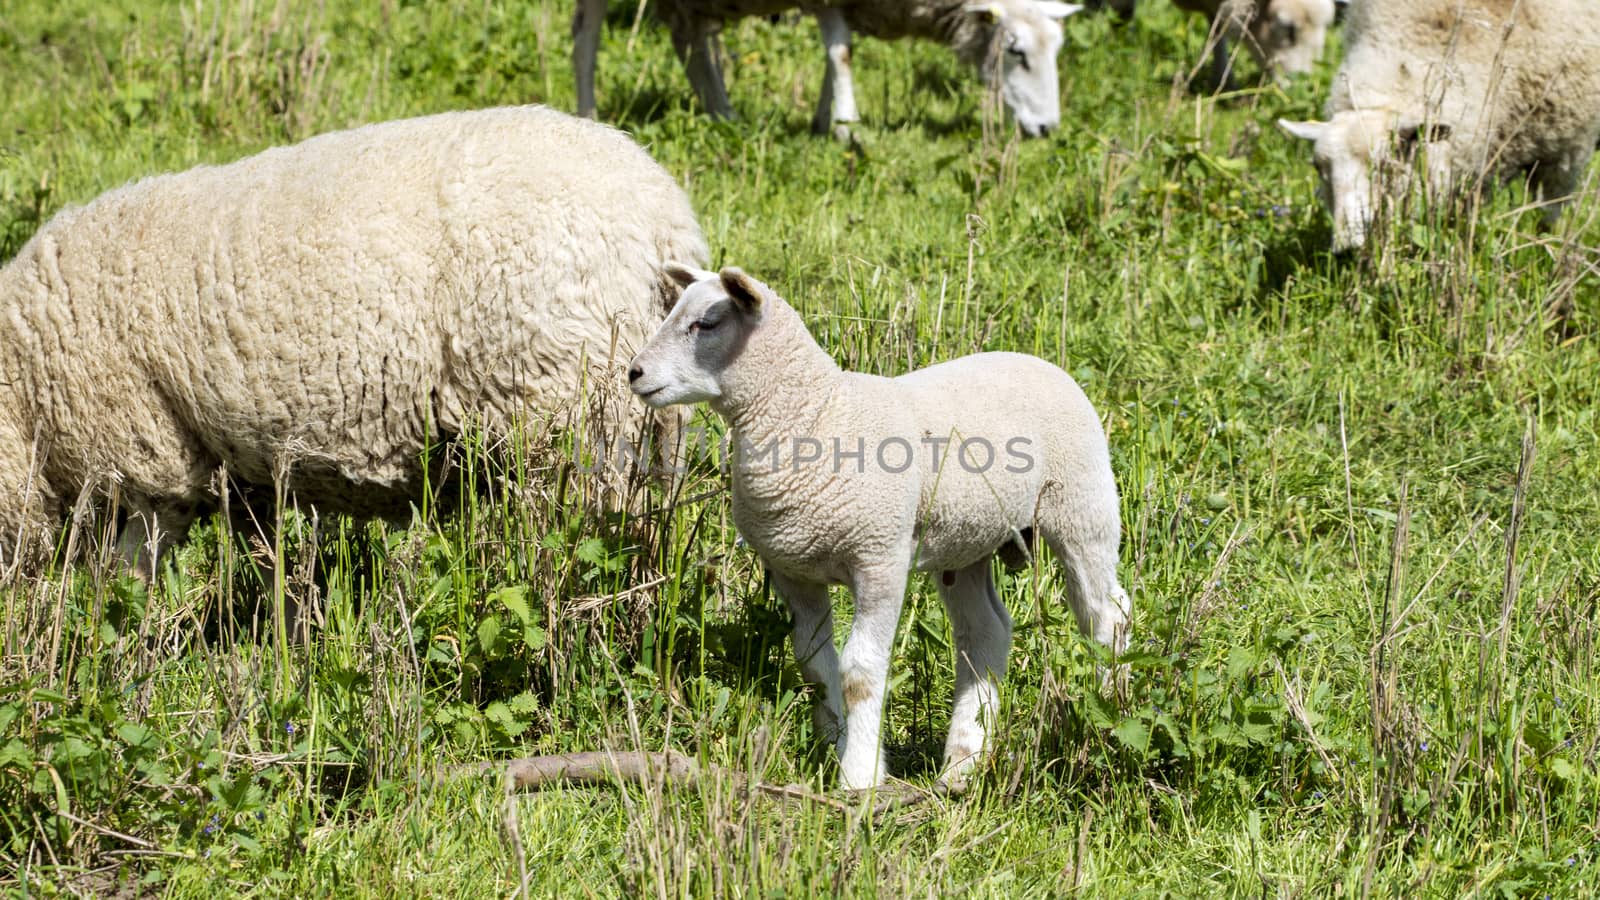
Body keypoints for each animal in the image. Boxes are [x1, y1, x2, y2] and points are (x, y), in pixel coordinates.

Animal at [0, 103, 707, 573]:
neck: (23, 398)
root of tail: (662, 214)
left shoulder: (141, 459)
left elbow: (120, 577)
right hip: (653, 420)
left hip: (568, 408)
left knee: (582, 530)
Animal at [569, 0, 1081, 138]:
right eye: (1016, 52)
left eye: (1057, 49)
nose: (1048, 129)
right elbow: (841, 51)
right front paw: (847, 127)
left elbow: (831, 56)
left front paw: (824, 117)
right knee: (585, 38)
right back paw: (587, 111)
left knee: (690, 42)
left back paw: (722, 113)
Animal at [620, 262, 1126, 787]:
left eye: (706, 323)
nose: (635, 372)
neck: (816, 414)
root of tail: (1037, 360)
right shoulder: (793, 572)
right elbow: (815, 666)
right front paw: (836, 743)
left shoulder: (879, 558)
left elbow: (860, 671)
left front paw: (859, 776)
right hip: (967, 540)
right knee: (985, 633)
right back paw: (963, 761)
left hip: (1081, 505)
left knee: (1106, 615)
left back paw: (1109, 714)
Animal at [1273, 0, 1600, 249]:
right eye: (1319, 168)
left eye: (1385, 165)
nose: (1347, 245)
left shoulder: (1567, 153)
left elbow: (1549, 216)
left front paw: (1545, 250)